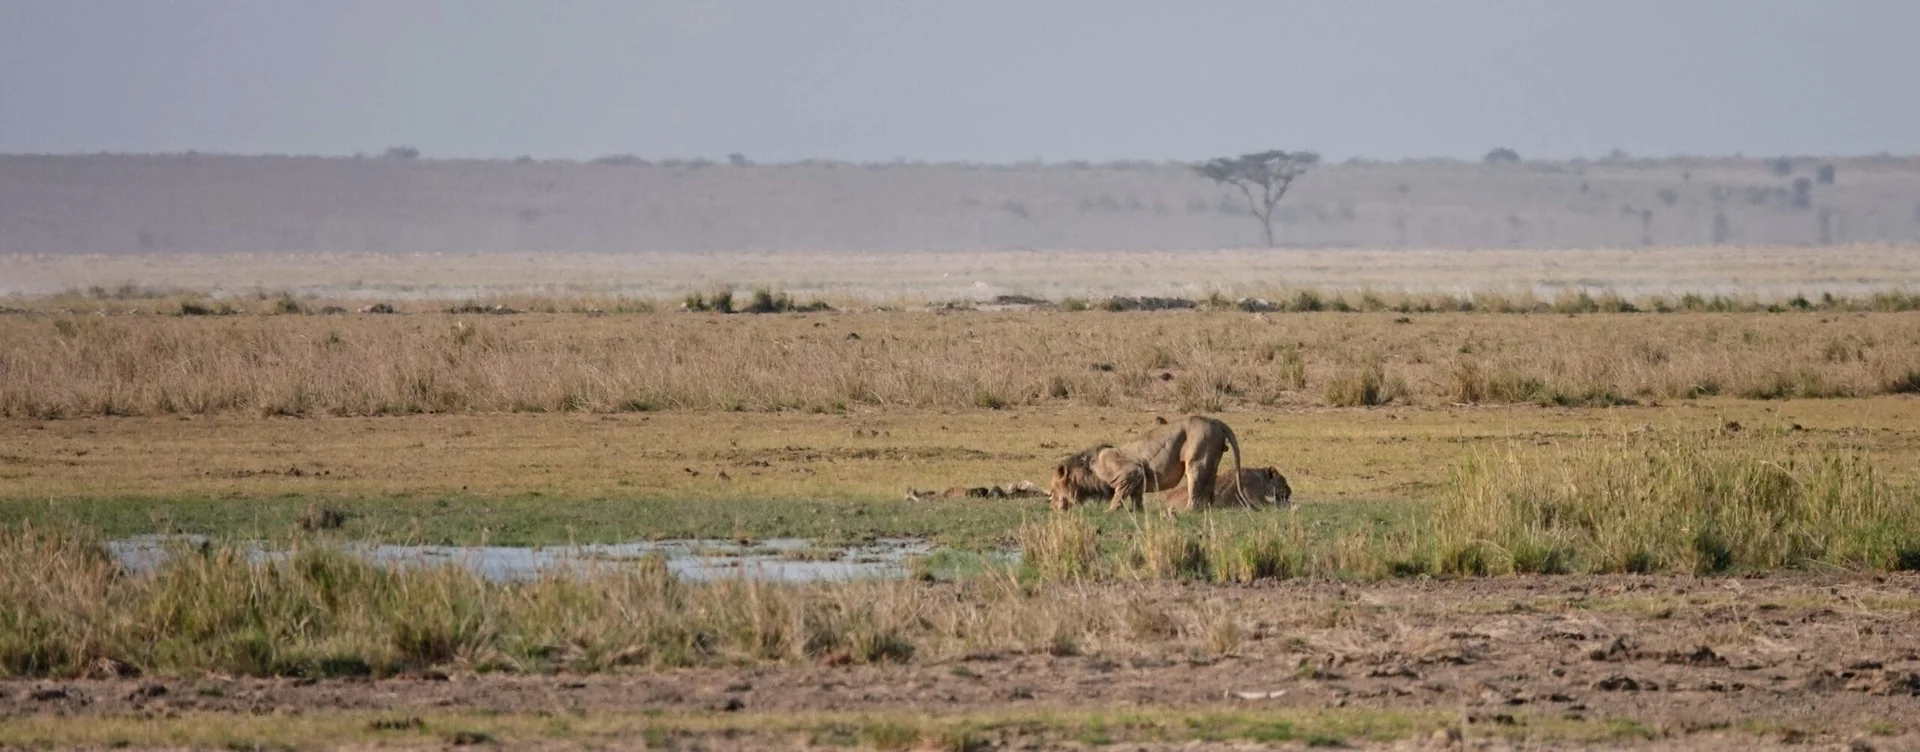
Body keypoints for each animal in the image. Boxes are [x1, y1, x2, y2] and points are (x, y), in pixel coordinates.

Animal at [1050, 415, 1244, 512]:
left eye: (1053, 490)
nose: (1053, 508)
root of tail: (1214, 420)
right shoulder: (1137, 480)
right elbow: (1136, 497)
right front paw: (1138, 511)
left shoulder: (1131, 472)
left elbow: (1118, 495)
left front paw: (1110, 511)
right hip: (1212, 461)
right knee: (1209, 486)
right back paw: (1209, 507)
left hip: (1197, 459)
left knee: (1194, 486)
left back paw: (1188, 509)